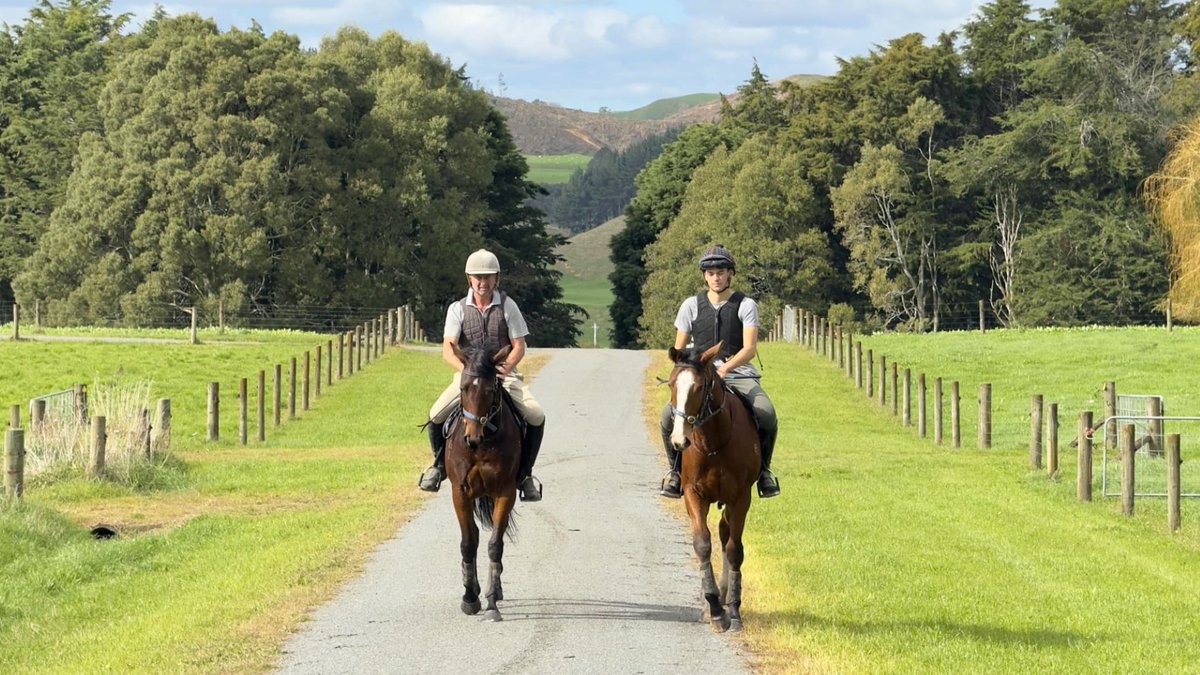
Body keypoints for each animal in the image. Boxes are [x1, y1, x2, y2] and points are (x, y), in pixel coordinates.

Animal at [441, 341, 516, 619]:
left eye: (490, 389)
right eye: (464, 388)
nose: (472, 438)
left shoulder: (506, 492)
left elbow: (494, 544)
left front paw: (492, 602)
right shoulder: (460, 492)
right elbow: (468, 542)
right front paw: (470, 598)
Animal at [667, 341, 758, 629]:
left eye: (698, 387)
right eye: (672, 384)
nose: (679, 440)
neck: (713, 442)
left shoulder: (741, 498)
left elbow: (733, 549)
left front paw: (734, 609)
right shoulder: (694, 495)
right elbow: (702, 545)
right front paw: (714, 607)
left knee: (726, 535)